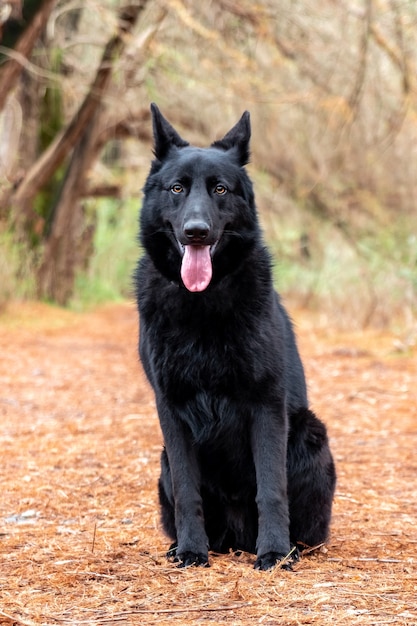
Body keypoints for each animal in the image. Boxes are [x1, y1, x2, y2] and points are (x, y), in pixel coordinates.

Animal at [136, 105, 334, 568]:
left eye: (220, 189)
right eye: (177, 188)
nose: (196, 231)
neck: (202, 304)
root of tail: (237, 535)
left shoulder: (266, 404)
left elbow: (271, 488)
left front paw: (275, 551)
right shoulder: (171, 410)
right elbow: (189, 492)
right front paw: (191, 550)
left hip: (310, 433)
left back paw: (290, 545)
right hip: (163, 459)